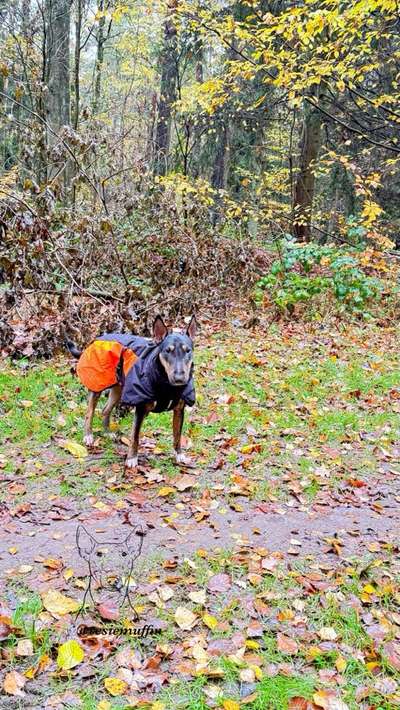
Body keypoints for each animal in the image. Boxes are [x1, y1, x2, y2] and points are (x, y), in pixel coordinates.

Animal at [66, 314, 198, 470]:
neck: (167, 385)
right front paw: (131, 459)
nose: (179, 378)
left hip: (118, 390)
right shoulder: (140, 408)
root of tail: (96, 340)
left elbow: (177, 435)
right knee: (89, 412)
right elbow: (135, 436)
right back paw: (88, 436)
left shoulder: (179, 410)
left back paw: (107, 432)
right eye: (167, 351)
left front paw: (179, 455)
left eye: (188, 351)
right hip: (97, 383)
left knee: (105, 410)